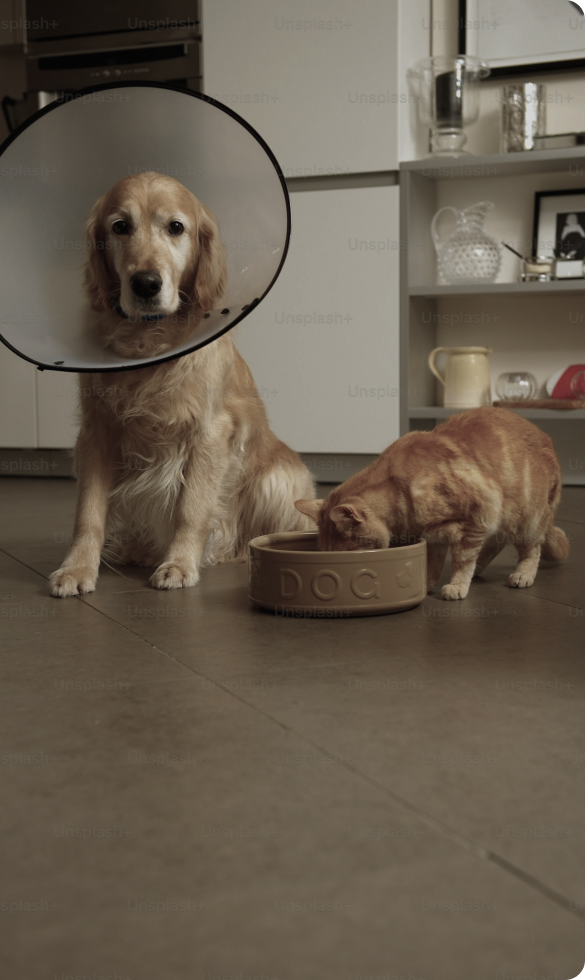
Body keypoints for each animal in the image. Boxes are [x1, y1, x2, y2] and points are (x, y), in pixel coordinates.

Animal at [50, 170, 314, 596]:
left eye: (176, 227)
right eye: (120, 226)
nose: (145, 283)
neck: (149, 349)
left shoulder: (209, 433)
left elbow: (191, 507)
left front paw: (180, 563)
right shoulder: (96, 431)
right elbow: (88, 511)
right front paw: (77, 568)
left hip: (276, 480)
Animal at [294, 404, 568, 596]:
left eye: (346, 553)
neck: (399, 491)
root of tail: (546, 437)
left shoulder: (477, 516)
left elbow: (462, 560)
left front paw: (456, 585)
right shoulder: (436, 534)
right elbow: (432, 563)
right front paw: (426, 584)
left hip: (527, 519)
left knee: (531, 549)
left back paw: (522, 574)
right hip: (506, 518)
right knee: (497, 541)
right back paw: (480, 567)